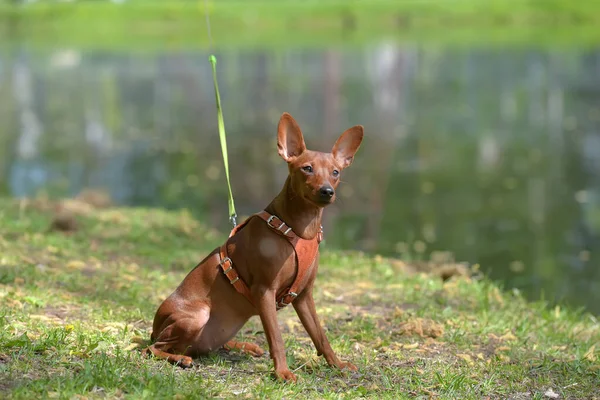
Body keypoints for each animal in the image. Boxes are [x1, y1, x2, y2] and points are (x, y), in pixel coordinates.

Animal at [145, 111, 360, 382]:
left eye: (336, 172)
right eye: (307, 168)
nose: (327, 191)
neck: (299, 230)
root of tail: (154, 328)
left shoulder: (303, 296)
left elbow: (320, 336)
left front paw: (337, 364)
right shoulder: (264, 291)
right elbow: (276, 338)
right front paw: (282, 372)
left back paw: (242, 346)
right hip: (196, 317)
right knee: (153, 349)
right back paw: (180, 358)